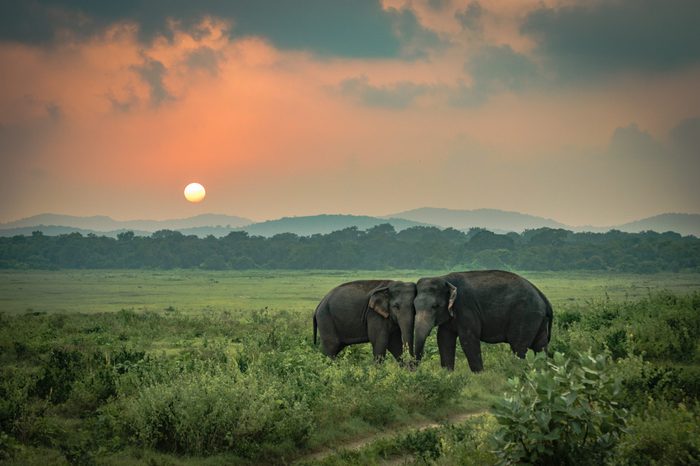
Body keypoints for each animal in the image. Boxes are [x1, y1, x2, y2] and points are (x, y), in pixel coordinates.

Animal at [416, 270, 552, 372]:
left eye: (435, 306)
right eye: (414, 306)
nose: (415, 368)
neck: (444, 278)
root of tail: (543, 297)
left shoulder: (465, 308)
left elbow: (468, 340)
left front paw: (479, 375)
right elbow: (444, 339)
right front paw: (447, 375)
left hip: (526, 315)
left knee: (519, 347)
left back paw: (518, 369)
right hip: (537, 319)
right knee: (540, 346)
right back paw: (542, 370)